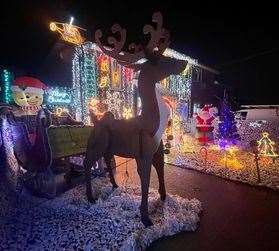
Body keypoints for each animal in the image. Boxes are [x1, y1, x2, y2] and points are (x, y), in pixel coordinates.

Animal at [84, 12, 187, 227]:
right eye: (160, 59)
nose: (184, 63)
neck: (152, 123)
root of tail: (95, 121)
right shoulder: (143, 154)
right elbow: (145, 182)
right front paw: (146, 218)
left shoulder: (158, 151)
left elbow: (161, 173)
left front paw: (164, 198)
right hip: (96, 143)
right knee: (87, 163)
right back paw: (90, 197)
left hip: (108, 147)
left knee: (108, 161)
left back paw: (115, 185)